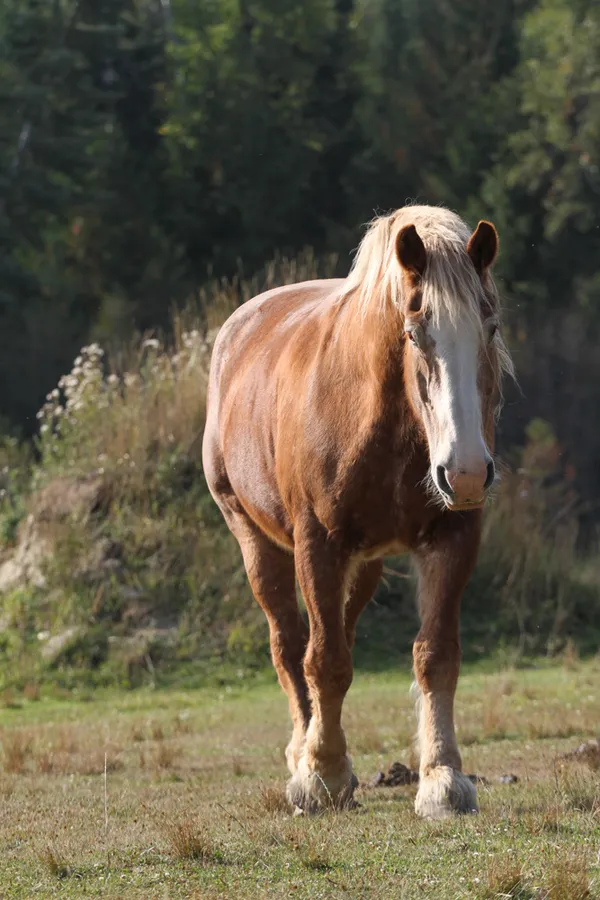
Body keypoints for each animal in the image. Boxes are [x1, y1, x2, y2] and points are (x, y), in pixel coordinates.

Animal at [202, 205, 513, 819]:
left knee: (335, 630)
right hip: (256, 540)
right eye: (415, 334)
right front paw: (321, 775)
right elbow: (324, 660)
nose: (466, 471)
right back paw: (303, 753)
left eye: (489, 329)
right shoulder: (318, 543)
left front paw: (443, 779)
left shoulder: (453, 536)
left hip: (365, 563)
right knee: (291, 644)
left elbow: (435, 655)